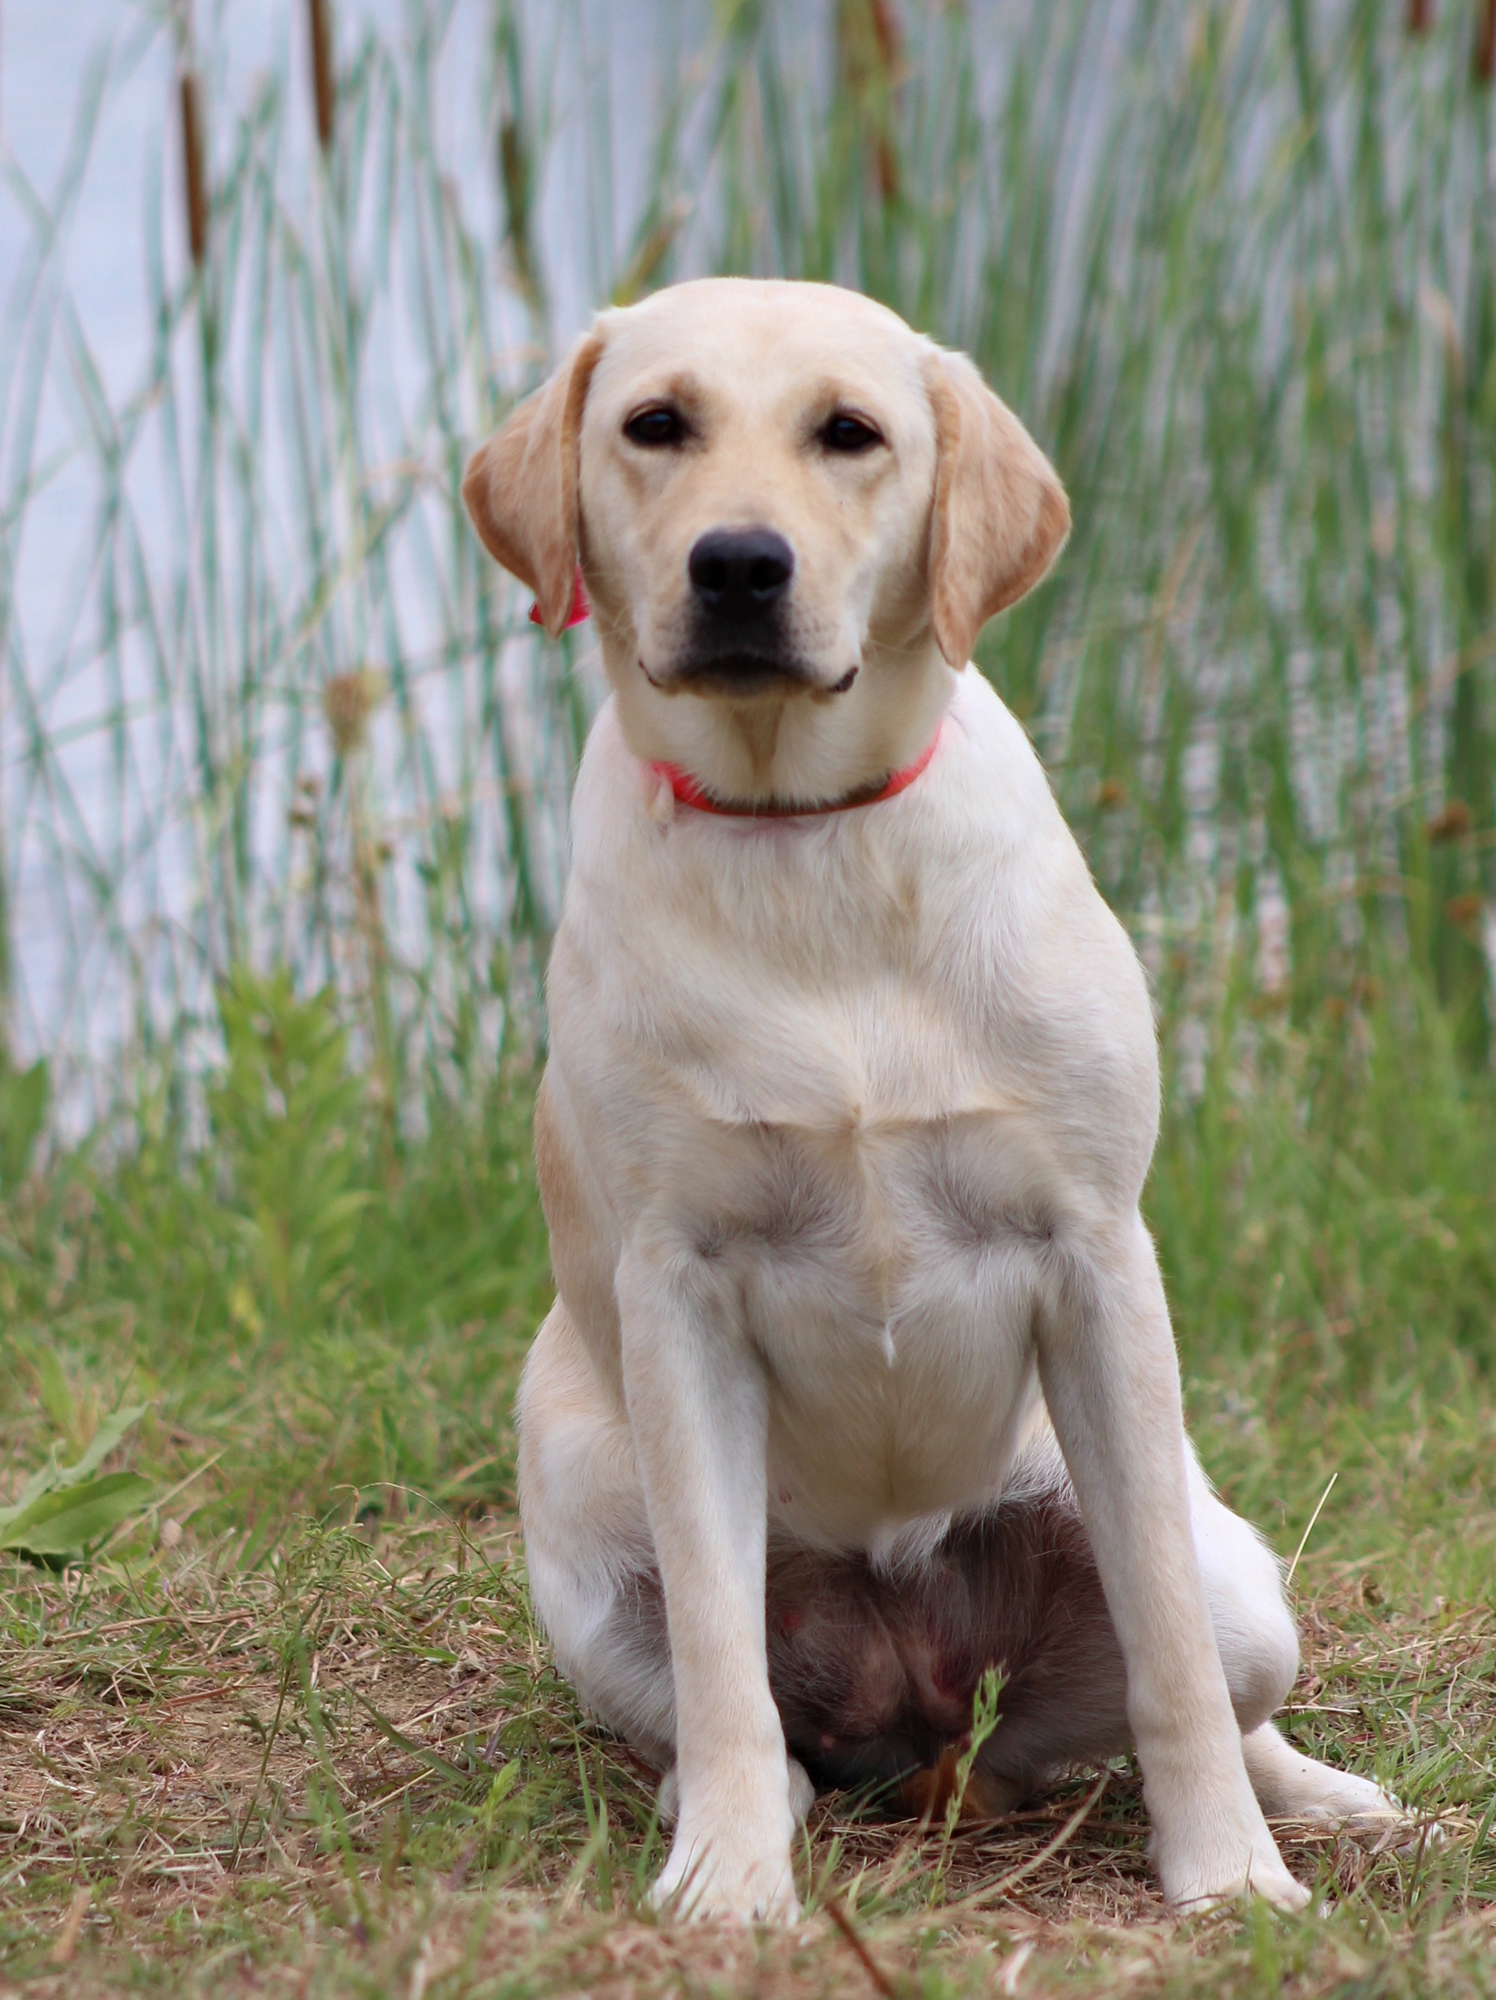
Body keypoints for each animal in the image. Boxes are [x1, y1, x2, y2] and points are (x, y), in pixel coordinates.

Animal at [462, 282, 1400, 1920]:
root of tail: (924, 1698)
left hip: (1231, 1579)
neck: (806, 840)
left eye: (851, 433)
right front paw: (728, 1884)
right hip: (585, 1574)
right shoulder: (677, 1293)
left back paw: (1312, 1799)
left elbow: (1163, 1651)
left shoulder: (1094, 1260)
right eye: (656, 424)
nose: (739, 563)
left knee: (1216, 1674)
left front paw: (1226, 1878)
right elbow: (722, 1658)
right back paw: (728, 1805)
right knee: (726, 1711)